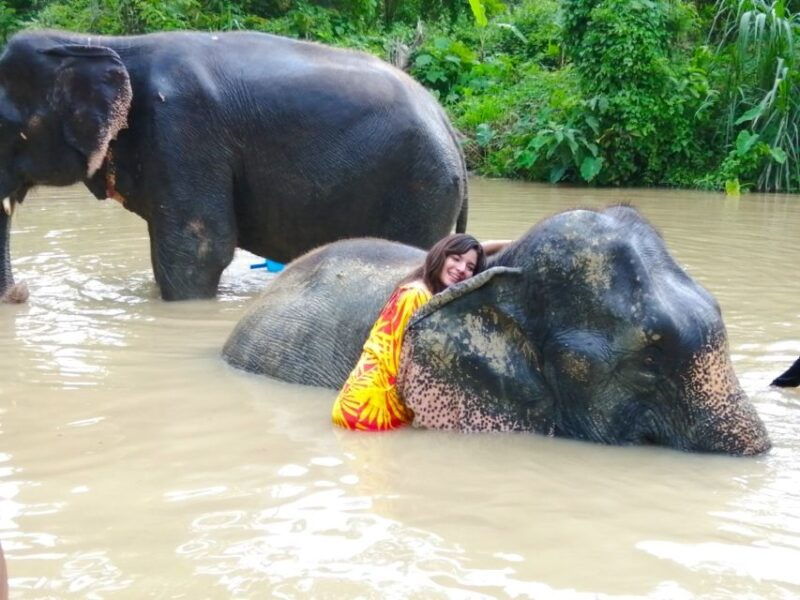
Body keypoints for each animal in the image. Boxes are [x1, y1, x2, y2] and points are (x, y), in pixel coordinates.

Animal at [0, 30, 467, 301]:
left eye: (4, 125)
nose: (22, 292)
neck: (97, 41)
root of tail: (448, 124)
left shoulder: (183, 129)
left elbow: (197, 247)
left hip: (420, 188)